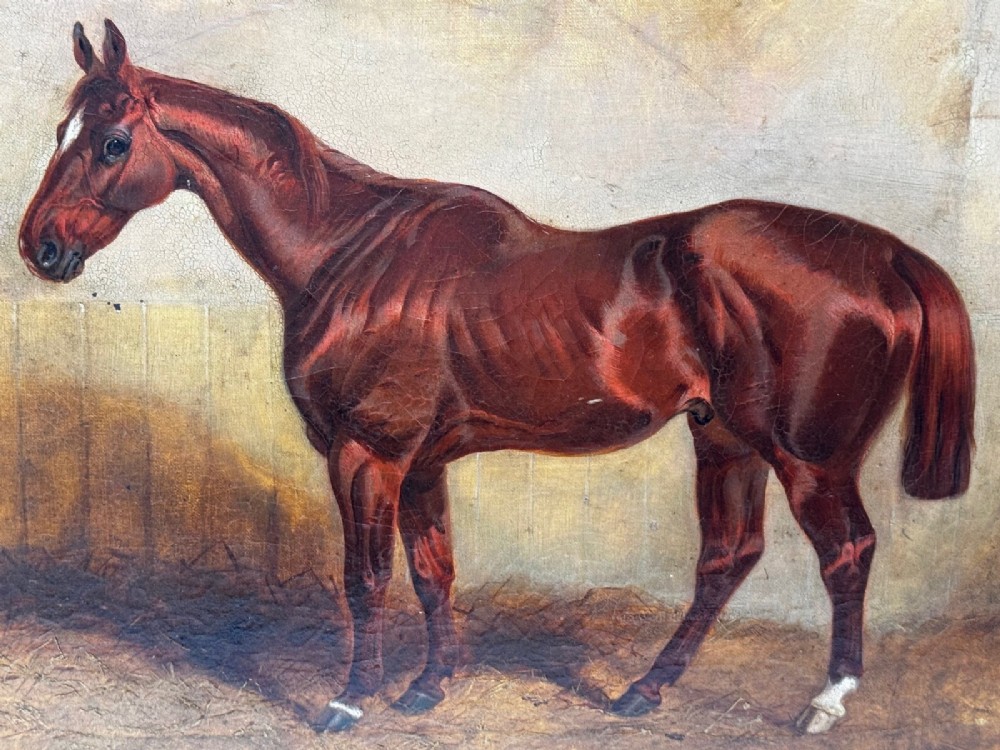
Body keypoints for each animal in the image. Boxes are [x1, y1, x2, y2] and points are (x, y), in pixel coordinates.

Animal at [19, 20, 975, 735]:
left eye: (111, 142)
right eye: (61, 132)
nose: (41, 248)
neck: (350, 251)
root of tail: (887, 256)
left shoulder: (367, 454)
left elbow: (366, 578)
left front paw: (349, 701)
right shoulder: (421, 463)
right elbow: (432, 570)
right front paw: (427, 687)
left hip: (810, 459)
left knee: (846, 554)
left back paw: (825, 703)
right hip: (727, 442)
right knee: (726, 559)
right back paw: (642, 692)